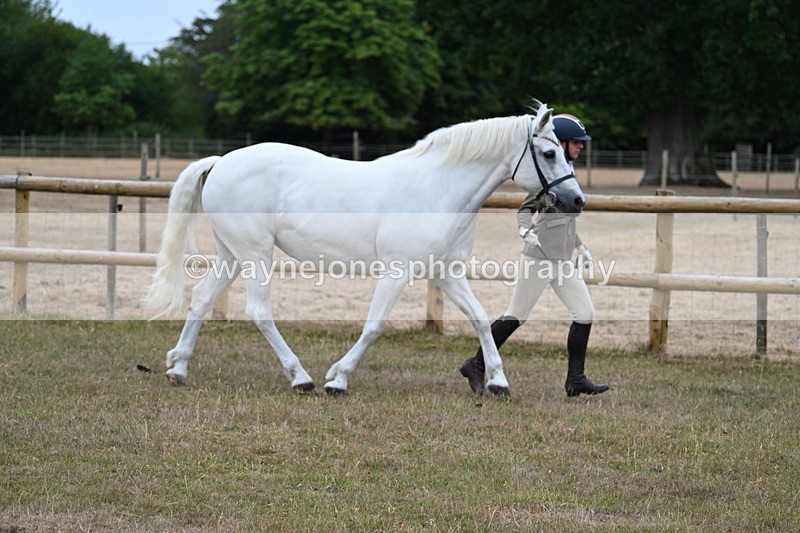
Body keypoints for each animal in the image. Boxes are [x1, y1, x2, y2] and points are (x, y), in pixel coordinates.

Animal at [143, 102, 585, 397]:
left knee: (201, 299)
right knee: (259, 311)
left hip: (232, 253)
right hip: (255, 254)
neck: (437, 189)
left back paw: (178, 369)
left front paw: (497, 381)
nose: (576, 200)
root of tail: (221, 162)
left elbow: (479, 318)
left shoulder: (445, 272)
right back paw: (301, 378)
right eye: (549, 153)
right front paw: (338, 379)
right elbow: (374, 326)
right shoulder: (398, 271)